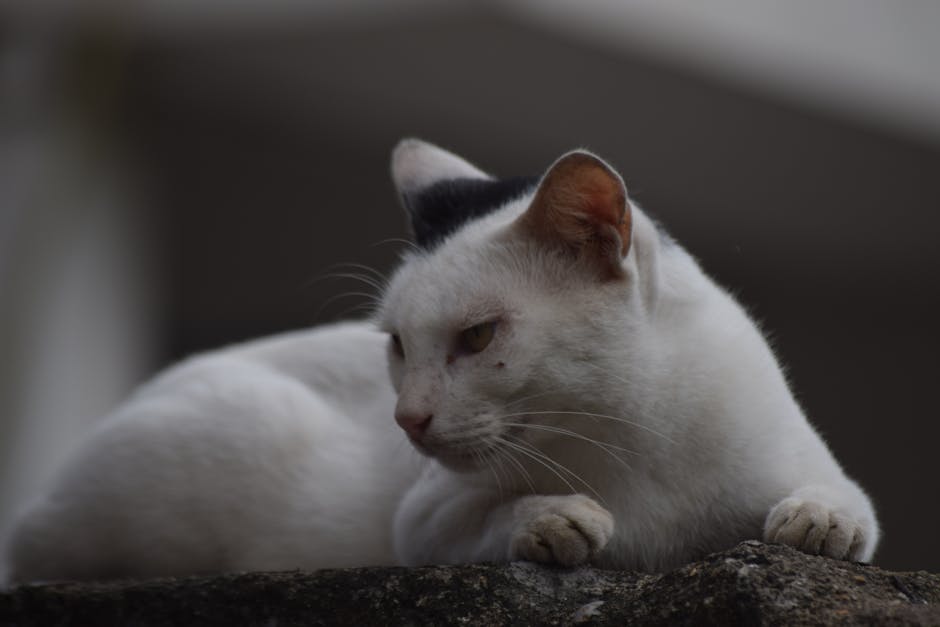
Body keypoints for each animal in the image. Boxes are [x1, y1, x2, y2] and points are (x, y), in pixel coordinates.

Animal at [3, 141, 876, 584]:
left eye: (479, 337)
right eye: (396, 343)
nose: (407, 418)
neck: (631, 436)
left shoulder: (821, 472)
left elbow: (844, 506)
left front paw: (813, 523)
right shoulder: (420, 519)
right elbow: (482, 523)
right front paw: (551, 518)